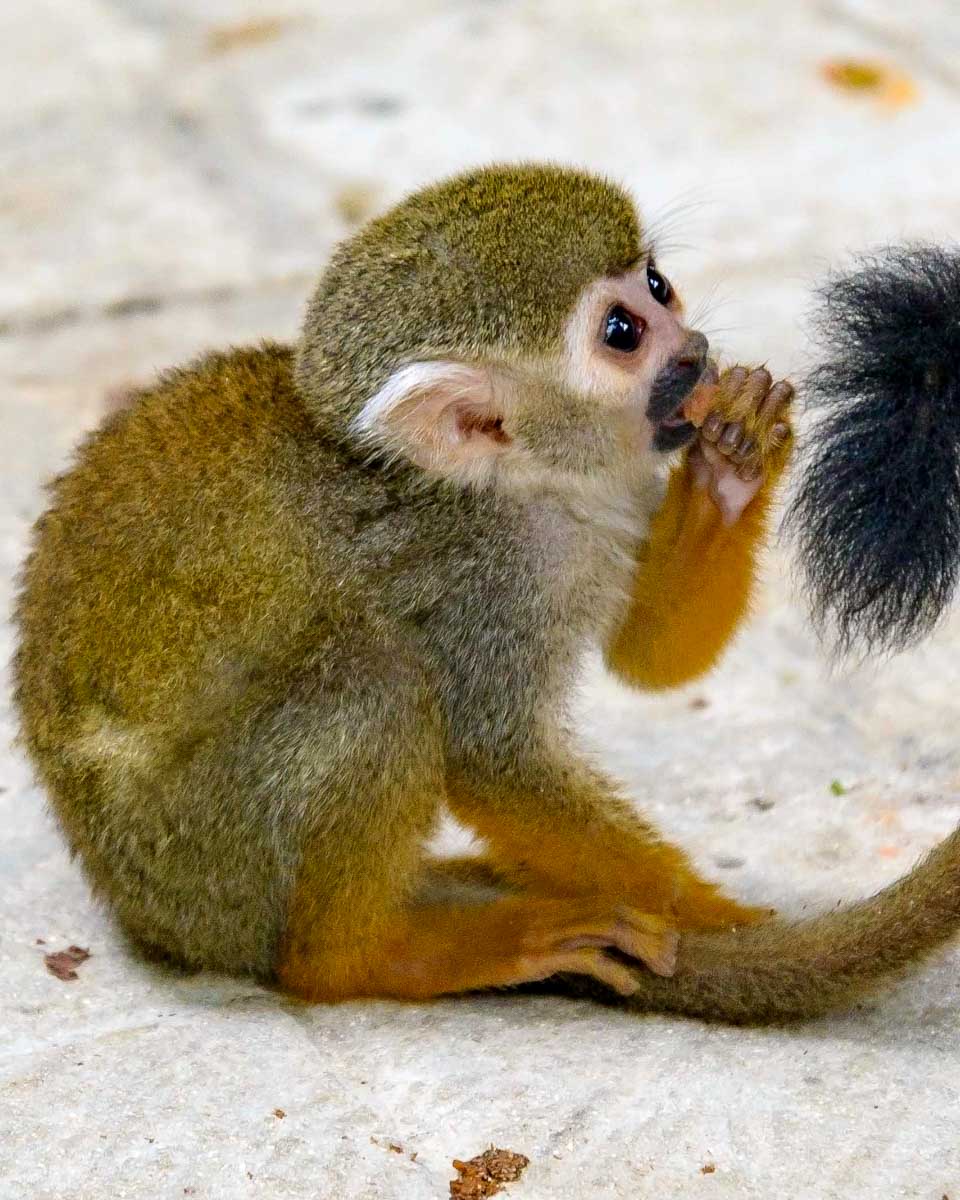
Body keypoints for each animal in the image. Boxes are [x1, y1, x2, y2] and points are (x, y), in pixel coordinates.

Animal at [12, 165, 959, 1024]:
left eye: (657, 285)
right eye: (623, 332)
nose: (693, 356)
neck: (526, 487)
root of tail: (145, 913)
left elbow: (648, 661)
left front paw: (733, 460)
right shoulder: (478, 581)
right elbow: (491, 755)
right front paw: (714, 918)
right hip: (204, 855)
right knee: (373, 683)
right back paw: (373, 954)